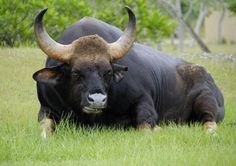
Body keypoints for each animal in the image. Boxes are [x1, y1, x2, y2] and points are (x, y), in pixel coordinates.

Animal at [32, 6, 224, 139]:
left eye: (108, 72)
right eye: (75, 73)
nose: (97, 100)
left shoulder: (144, 102)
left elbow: (145, 127)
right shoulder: (46, 109)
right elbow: (43, 130)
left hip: (206, 100)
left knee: (209, 121)